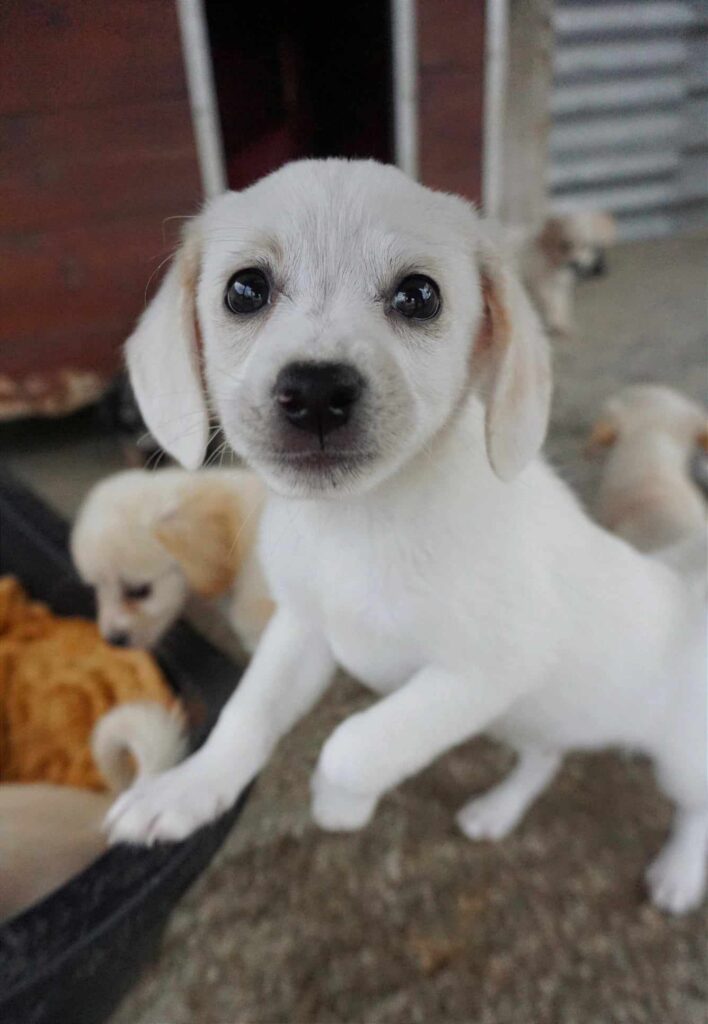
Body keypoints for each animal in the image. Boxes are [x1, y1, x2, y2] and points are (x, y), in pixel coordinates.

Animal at [516, 211, 616, 340]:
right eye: (564, 245)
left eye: (587, 245)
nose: (575, 264)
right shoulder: (540, 282)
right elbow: (550, 303)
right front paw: (555, 323)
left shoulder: (559, 285)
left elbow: (562, 305)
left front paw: (563, 326)